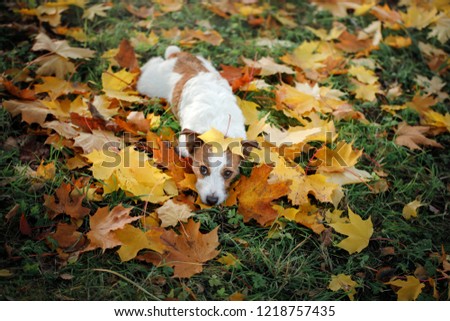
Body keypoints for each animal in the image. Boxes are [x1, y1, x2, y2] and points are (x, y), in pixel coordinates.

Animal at [137, 45, 255, 205]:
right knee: (151, 65)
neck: (218, 130)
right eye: (203, 169)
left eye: (228, 173)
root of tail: (178, 55)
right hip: (149, 84)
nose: (212, 200)